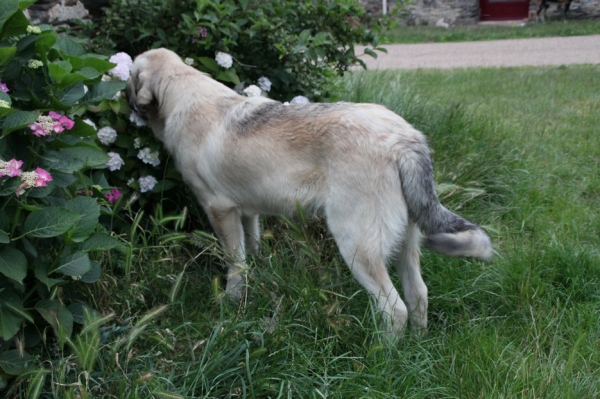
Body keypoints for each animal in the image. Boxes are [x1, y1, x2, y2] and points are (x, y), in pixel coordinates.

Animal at [126, 47, 492, 334]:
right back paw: (415, 348)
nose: (123, 99)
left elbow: (236, 265)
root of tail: (404, 138)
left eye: (129, 77)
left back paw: (382, 357)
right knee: (418, 295)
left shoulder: (220, 210)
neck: (182, 93)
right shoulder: (247, 212)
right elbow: (251, 250)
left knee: (394, 308)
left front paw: (231, 300)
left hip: (356, 246)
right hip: (406, 244)